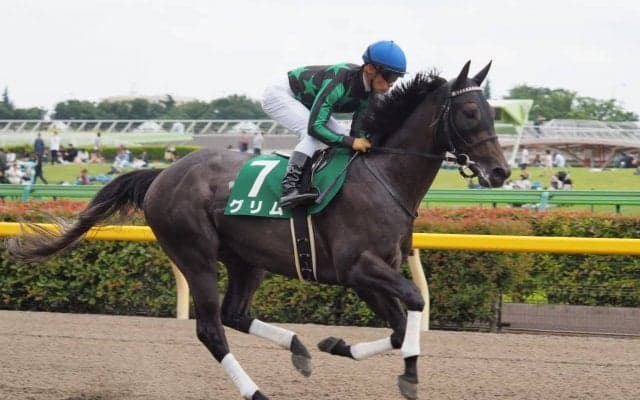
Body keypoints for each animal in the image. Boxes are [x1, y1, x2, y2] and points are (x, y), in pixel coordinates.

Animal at [8, 61, 510, 400]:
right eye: (469, 112)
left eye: (491, 111)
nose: (501, 171)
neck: (381, 176)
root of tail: (163, 174)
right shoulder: (358, 268)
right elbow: (415, 303)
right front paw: (408, 375)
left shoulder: (370, 274)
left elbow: (400, 324)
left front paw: (335, 344)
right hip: (195, 255)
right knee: (212, 328)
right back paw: (257, 391)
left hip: (247, 260)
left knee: (235, 314)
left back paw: (299, 349)